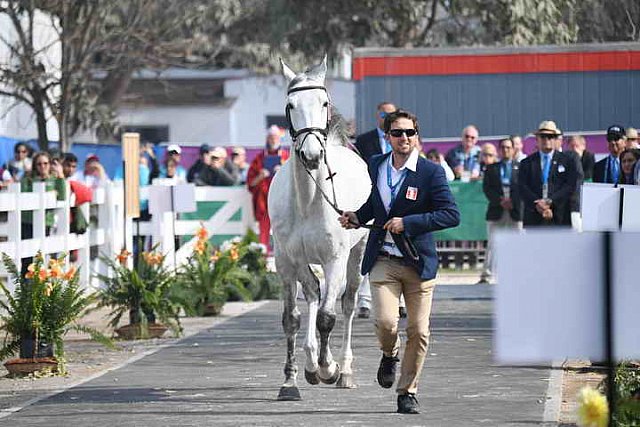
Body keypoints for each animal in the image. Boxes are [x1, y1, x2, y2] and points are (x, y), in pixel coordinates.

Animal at [268, 57, 370, 402]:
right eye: (290, 105)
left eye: (323, 103)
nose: (312, 156)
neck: (308, 200)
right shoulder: (287, 262)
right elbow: (292, 318)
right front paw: (290, 382)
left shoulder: (334, 259)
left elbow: (328, 316)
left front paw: (330, 369)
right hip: (303, 263)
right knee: (313, 293)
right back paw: (311, 363)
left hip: (357, 255)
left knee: (348, 303)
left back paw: (344, 370)